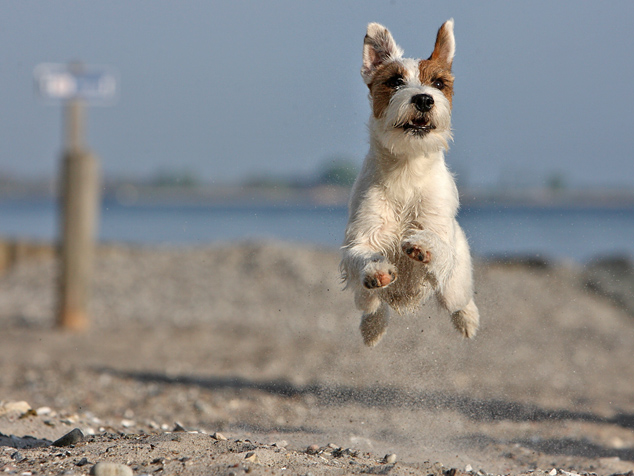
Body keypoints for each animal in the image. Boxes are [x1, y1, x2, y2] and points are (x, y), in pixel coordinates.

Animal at [338, 19, 476, 346]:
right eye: (395, 81)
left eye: (438, 84)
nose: (424, 99)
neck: (407, 167)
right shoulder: (362, 236)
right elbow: (362, 256)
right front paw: (377, 270)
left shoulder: (440, 233)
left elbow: (438, 245)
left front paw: (421, 245)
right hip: (365, 298)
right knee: (371, 304)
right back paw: (372, 328)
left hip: (453, 288)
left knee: (460, 300)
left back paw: (469, 320)